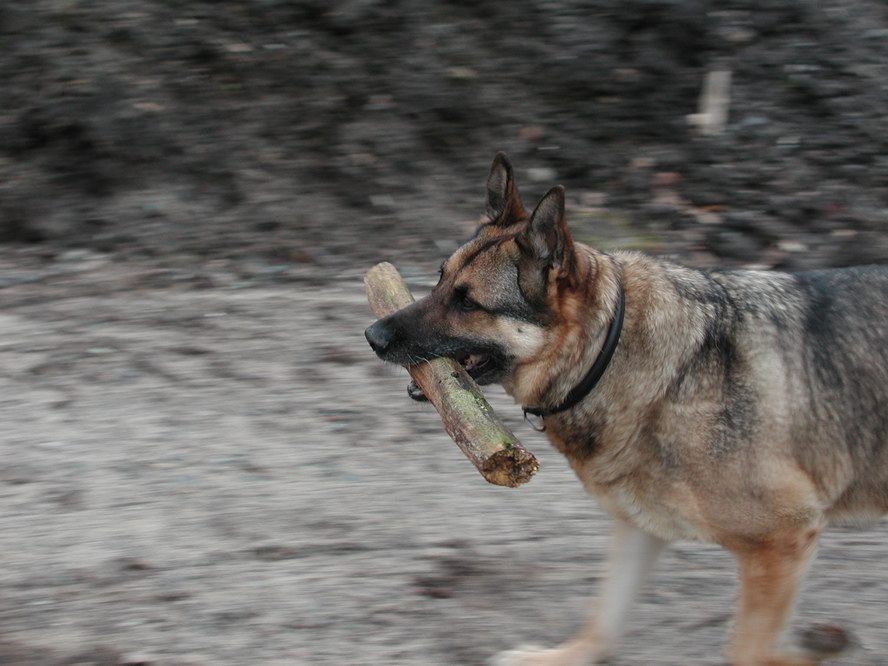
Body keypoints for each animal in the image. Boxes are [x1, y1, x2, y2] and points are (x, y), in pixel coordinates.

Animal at [362, 153, 888, 660]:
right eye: (440, 279)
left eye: (468, 302)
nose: (372, 335)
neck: (611, 354)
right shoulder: (639, 526)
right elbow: (602, 625)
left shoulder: (783, 541)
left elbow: (749, 652)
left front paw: (824, 649)